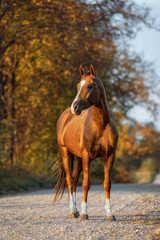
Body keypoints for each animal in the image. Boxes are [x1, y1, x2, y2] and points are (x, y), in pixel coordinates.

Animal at [54, 64, 118, 220]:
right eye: (78, 86)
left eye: (90, 85)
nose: (75, 107)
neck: (100, 125)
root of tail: (64, 116)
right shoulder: (87, 157)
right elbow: (86, 184)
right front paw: (84, 213)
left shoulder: (110, 156)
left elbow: (107, 184)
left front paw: (110, 213)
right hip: (66, 154)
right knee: (70, 180)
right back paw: (73, 211)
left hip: (77, 158)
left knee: (74, 181)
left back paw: (75, 210)